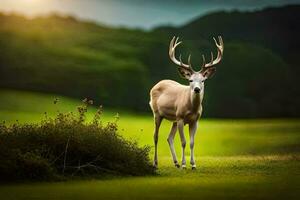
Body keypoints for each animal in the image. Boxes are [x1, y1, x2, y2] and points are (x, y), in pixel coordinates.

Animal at [149, 35, 223, 169]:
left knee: (169, 138)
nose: (197, 89)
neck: (191, 108)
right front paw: (184, 164)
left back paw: (176, 163)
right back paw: (156, 163)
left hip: (173, 119)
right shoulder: (180, 118)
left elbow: (192, 142)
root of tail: (156, 84)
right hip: (157, 113)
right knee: (156, 136)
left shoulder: (195, 120)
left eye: (203, 80)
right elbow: (183, 142)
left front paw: (193, 164)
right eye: (190, 80)